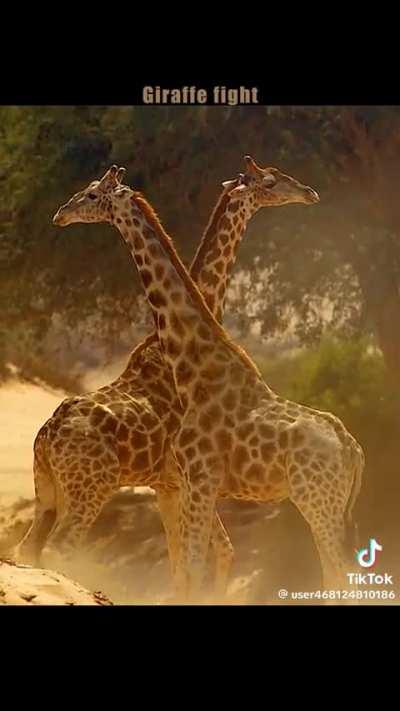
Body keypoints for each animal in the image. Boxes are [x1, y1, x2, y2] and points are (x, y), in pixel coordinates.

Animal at [46, 164, 364, 602]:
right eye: (271, 181)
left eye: (93, 194)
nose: (61, 213)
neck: (190, 366)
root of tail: (353, 450)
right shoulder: (186, 484)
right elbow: (193, 565)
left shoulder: (192, 481)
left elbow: (194, 565)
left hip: (319, 502)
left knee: (338, 573)